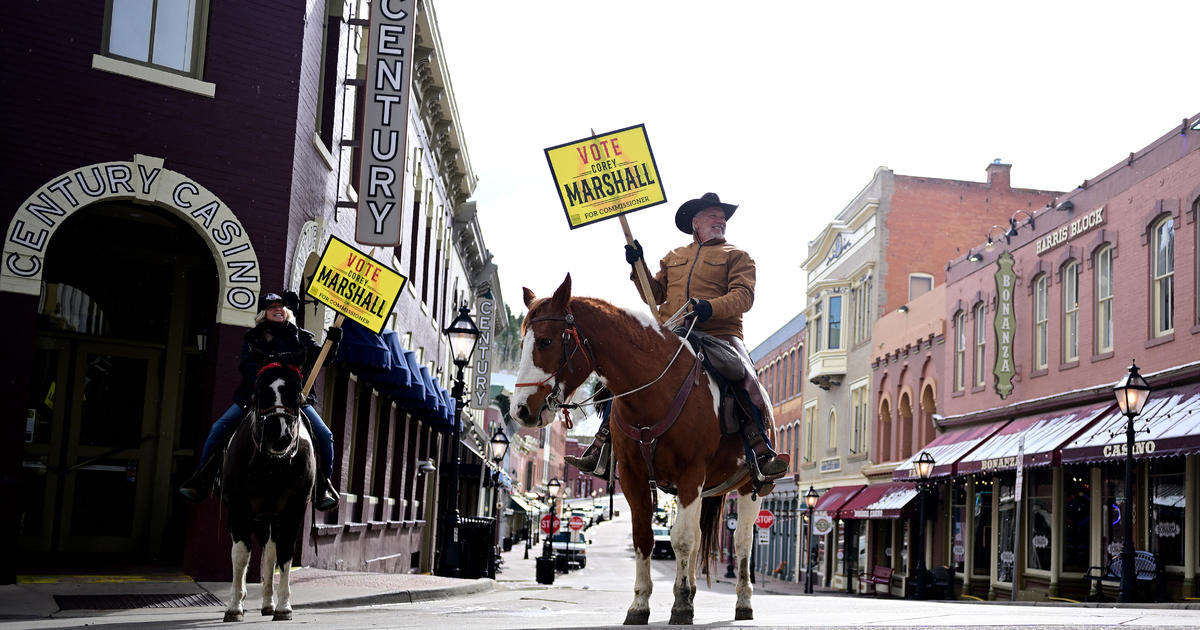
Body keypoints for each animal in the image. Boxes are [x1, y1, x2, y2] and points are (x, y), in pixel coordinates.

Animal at [220, 360, 314, 619]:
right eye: (261, 390)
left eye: (297, 392)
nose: (279, 434)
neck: (271, 466)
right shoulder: (238, 508)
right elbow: (240, 555)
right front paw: (234, 606)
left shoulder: (293, 511)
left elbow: (284, 555)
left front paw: (283, 606)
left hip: (271, 518)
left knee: (271, 554)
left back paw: (268, 603)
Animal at [513, 274, 758, 624]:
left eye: (546, 341)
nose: (520, 410)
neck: (654, 392)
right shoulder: (633, 476)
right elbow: (646, 538)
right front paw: (641, 604)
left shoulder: (691, 474)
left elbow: (681, 540)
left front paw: (680, 604)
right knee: (700, 538)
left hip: (751, 486)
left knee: (742, 541)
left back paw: (743, 601)